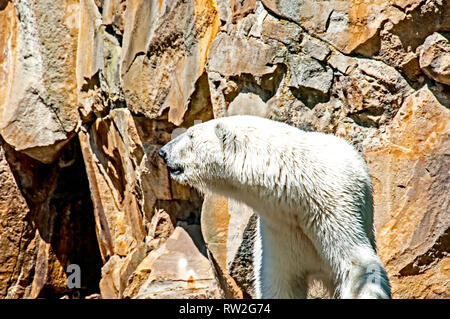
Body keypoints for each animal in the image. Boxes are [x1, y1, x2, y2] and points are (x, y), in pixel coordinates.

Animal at [158, 115, 390, 300]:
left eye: (190, 135)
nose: (162, 152)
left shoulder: (334, 209)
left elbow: (358, 267)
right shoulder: (279, 228)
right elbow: (280, 282)